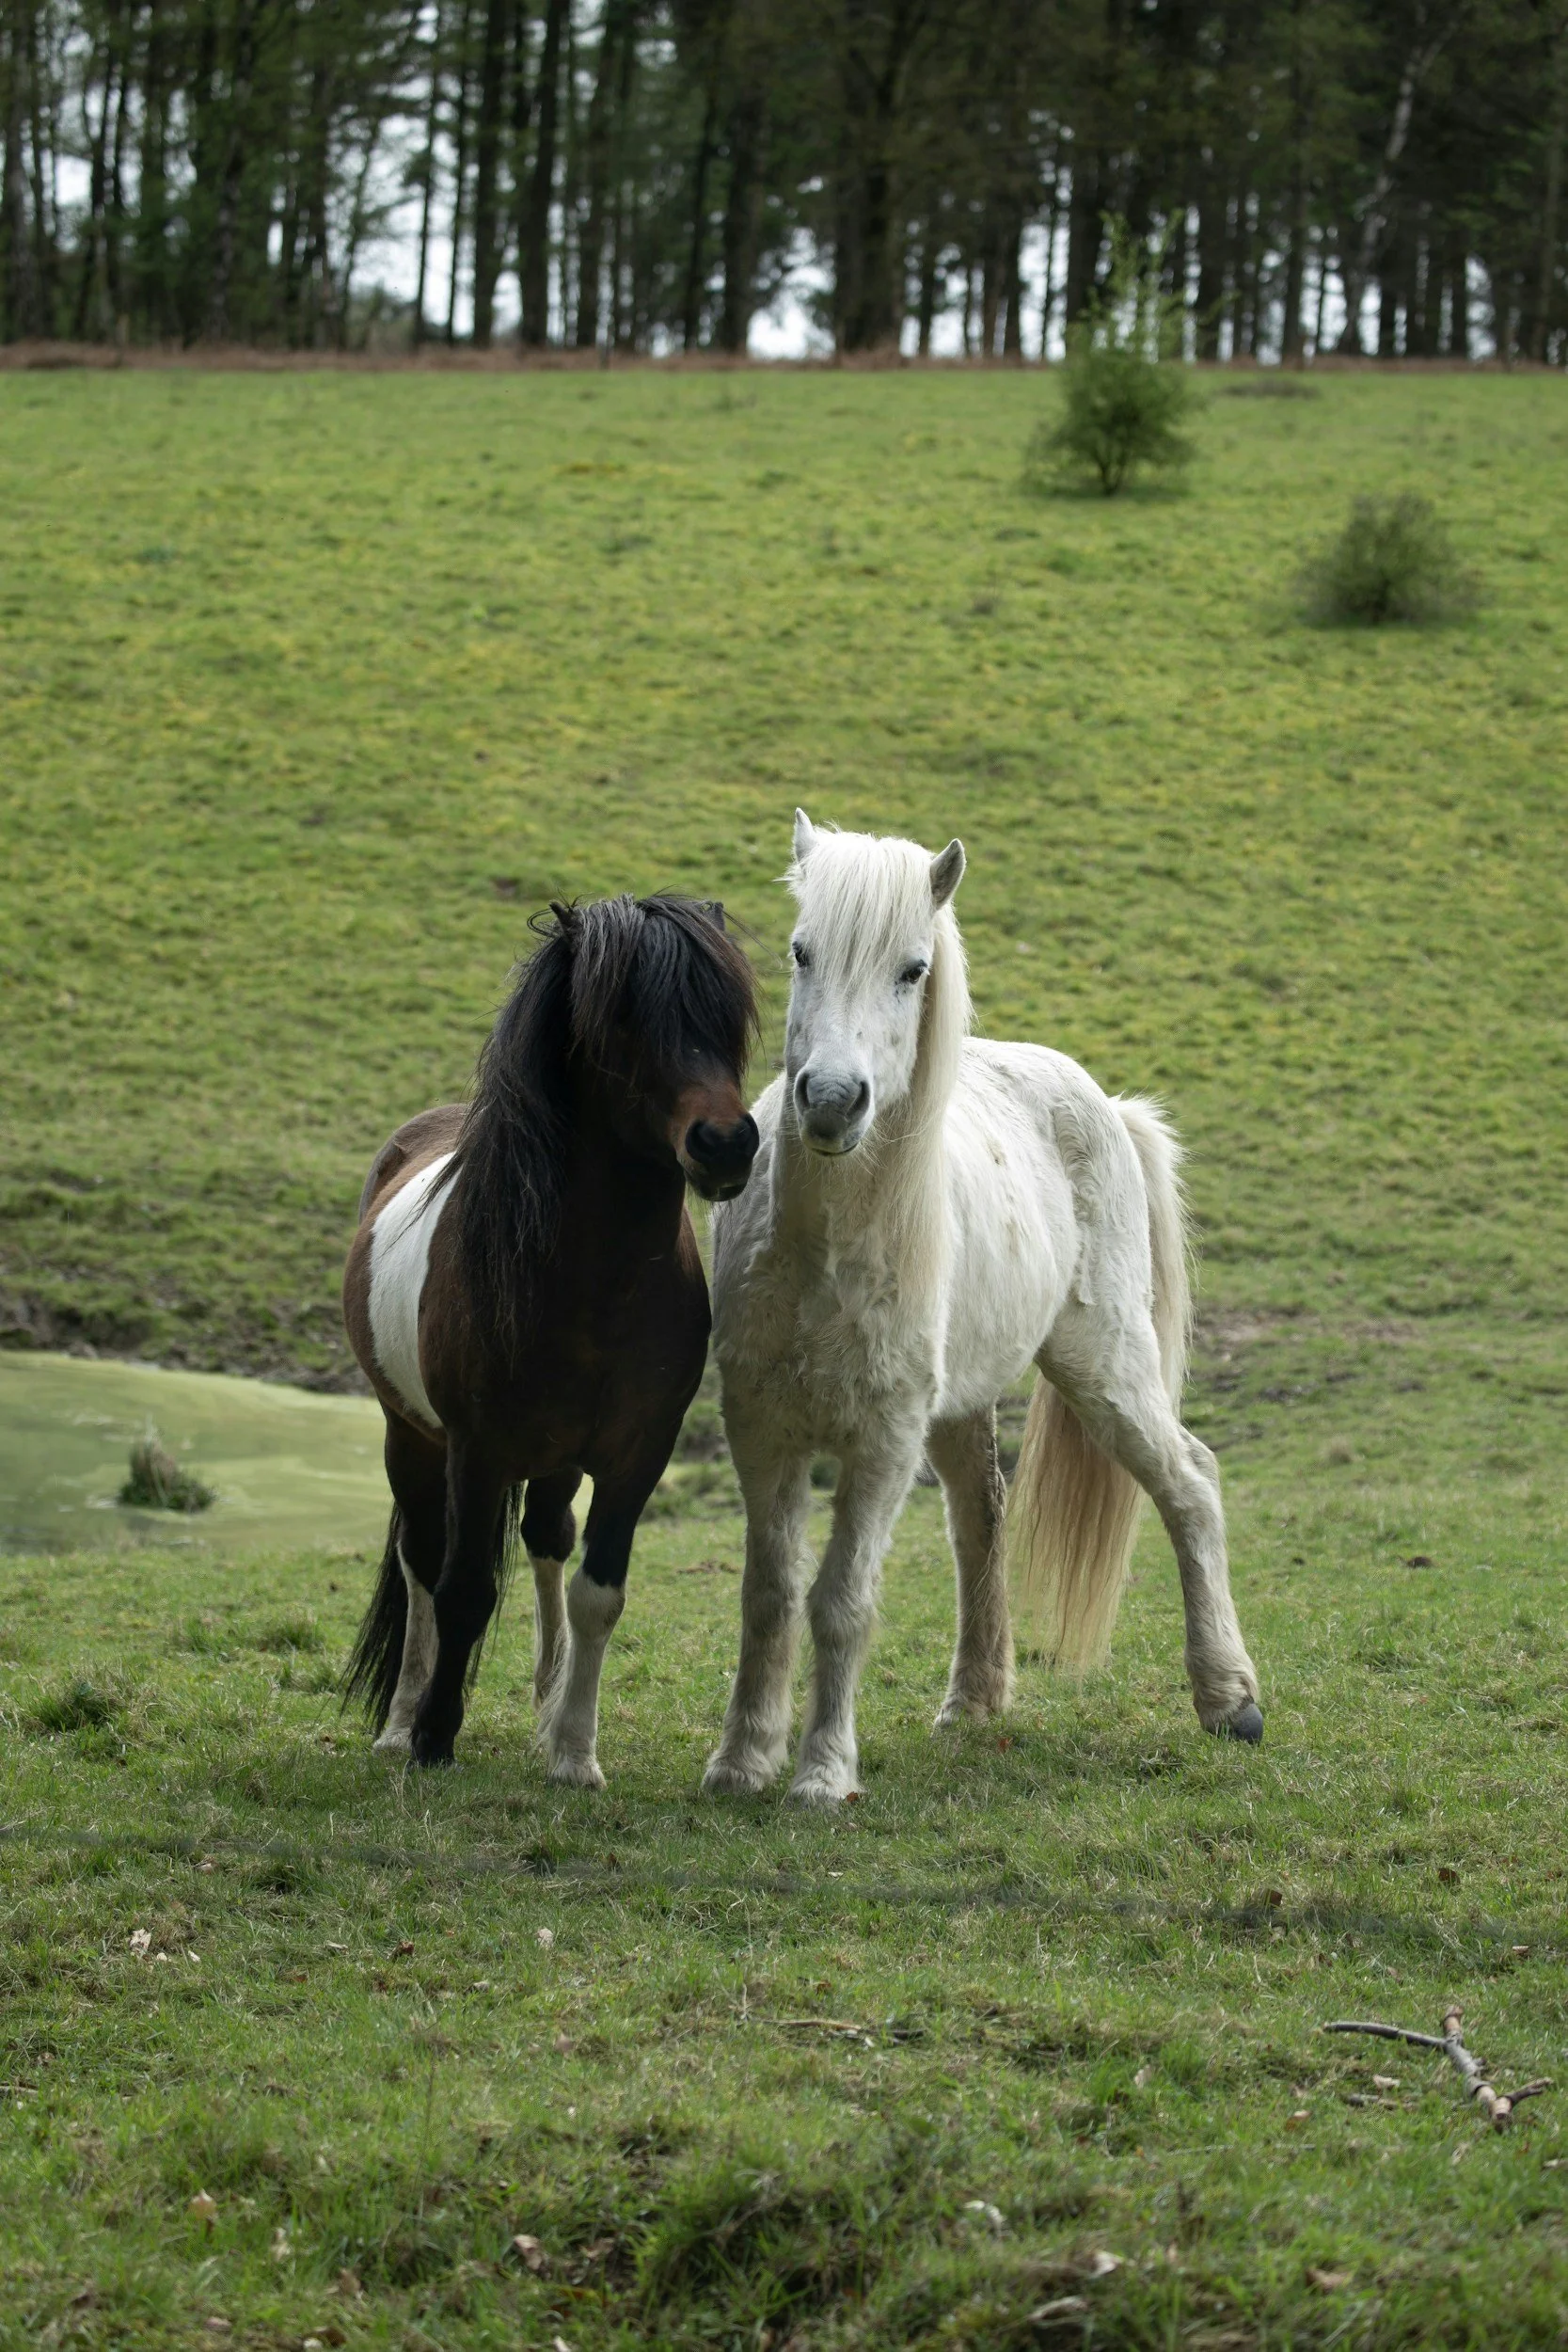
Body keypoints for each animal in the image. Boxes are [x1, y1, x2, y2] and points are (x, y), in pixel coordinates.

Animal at [341, 894, 759, 1782]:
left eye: (728, 1011)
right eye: (622, 1019)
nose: (724, 1144)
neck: (591, 1283)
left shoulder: (637, 1454)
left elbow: (598, 1591)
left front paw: (571, 1751)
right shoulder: (476, 1451)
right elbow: (463, 1590)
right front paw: (433, 1737)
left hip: (556, 1457)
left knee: (544, 1540)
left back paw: (545, 1688)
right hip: (411, 1437)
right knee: (421, 1564)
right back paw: (400, 1720)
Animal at [703, 813, 1261, 1806]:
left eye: (911, 969)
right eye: (802, 952)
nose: (833, 1101)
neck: (823, 1252)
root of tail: (1105, 1104)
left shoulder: (882, 1440)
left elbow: (841, 1601)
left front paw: (822, 1774)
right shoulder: (760, 1427)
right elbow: (768, 1593)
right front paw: (742, 1760)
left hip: (1103, 1366)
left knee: (1188, 1482)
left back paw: (1228, 1699)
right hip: (962, 1405)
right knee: (981, 1516)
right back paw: (974, 1699)